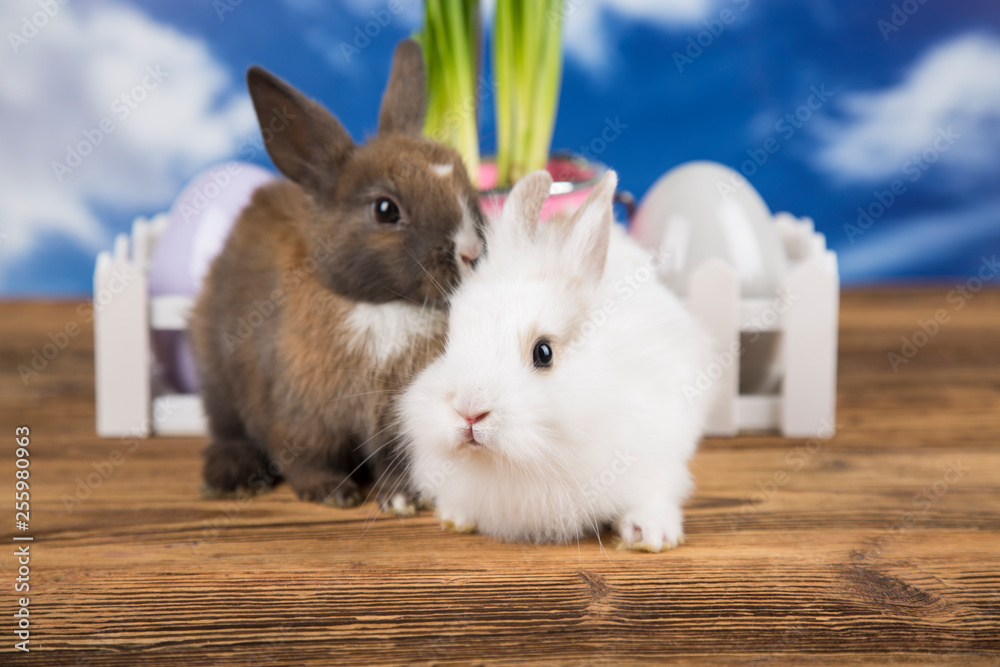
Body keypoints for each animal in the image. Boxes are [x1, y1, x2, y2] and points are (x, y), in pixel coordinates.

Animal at [190, 39, 486, 513]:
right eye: (385, 210)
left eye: (467, 186)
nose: (471, 251)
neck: (384, 307)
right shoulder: (299, 414)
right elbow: (307, 455)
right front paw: (331, 493)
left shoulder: (403, 421)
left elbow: (399, 458)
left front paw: (402, 499)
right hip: (213, 370)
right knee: (226, 429)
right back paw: (230, 477)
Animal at [399, 169, 712, 551]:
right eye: (447, 341)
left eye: (543, 352)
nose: (469, 411)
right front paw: (455, 517)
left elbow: (653, 494)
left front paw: (650, 534)